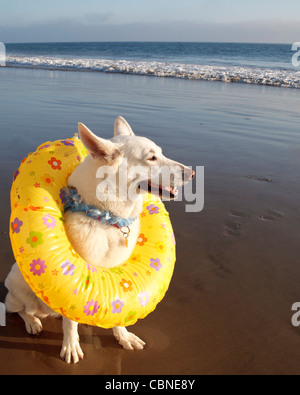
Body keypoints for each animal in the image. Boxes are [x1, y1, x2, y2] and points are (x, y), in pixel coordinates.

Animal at [5, 117, 196, 366]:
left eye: (160, 153)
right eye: (151, 158)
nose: (192, 173)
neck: (106, 218)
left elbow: (119, 309)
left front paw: (123, 336)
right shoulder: (73, 283)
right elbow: (70, 323)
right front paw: (71, 346)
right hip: (17, 286)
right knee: (18, 309)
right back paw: (32, 322)